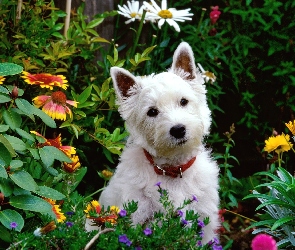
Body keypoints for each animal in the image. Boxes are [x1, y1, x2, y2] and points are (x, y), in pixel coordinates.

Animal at [97, 42, 220, 243]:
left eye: (183, 101)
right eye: (152, 112)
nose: (178, 129)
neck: (173, 170)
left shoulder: (205, 220)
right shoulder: (137, 215)